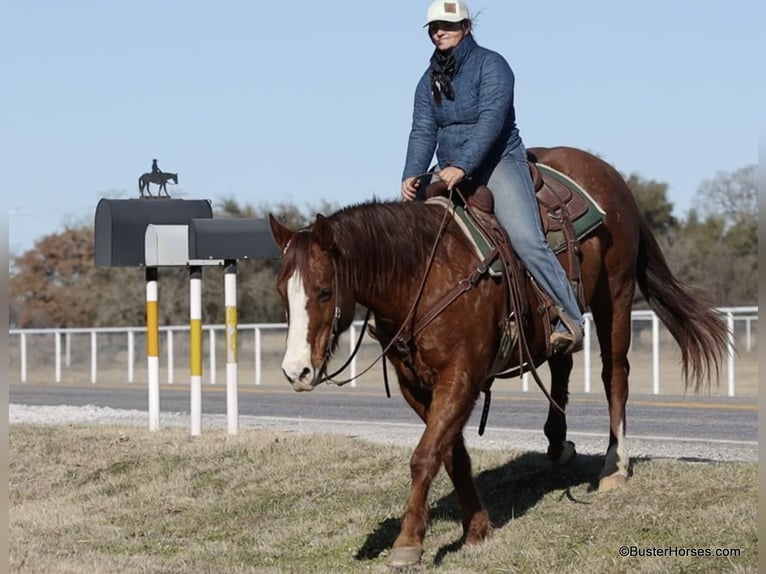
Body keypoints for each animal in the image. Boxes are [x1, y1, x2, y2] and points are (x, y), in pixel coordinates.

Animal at [268, 146, 728, 568]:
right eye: (281, 291)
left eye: (324, 290)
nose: (296, 371)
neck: (423, 274)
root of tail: (608, 173)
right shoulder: (415, 384)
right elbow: (450, 453)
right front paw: (477, 528)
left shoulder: (462, 375)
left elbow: (425, 455)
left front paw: (409, 542)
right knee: (561, 363)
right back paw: (557, 444)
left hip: (615, 296)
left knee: (615, 374)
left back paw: (614, 466)